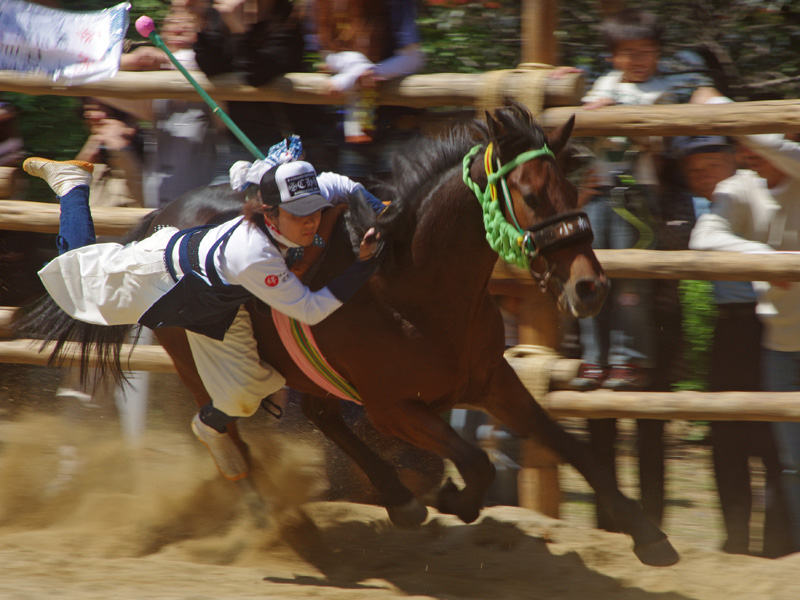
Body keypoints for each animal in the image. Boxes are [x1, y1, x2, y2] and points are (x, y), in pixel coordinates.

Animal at [18, 104, 680, 568]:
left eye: (574, 190)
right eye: (533, 194)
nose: (591, 288)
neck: (414, 292)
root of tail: (164, 219)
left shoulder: (493, 380)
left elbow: (568, 446)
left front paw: (647, 535)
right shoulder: (394, 408)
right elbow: (475, 460)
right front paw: (453, 499)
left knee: (316, 414)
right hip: (204, 360)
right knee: (225, 428)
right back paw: (289, 524)